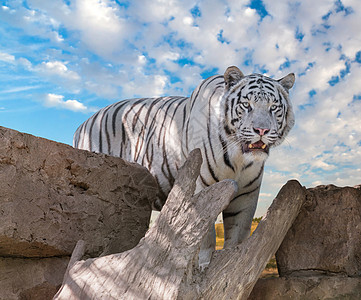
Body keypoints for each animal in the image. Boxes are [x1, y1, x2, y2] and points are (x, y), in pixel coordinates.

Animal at [72, 67, 292, 268]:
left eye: (273, 107)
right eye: (247, 105)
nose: (261, 130)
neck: (239, 158)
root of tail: (82, 125)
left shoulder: (247, 194)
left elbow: (238, 233)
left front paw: (232, 263)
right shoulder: (202, 185)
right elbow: (205, 232)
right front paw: (202, 264)